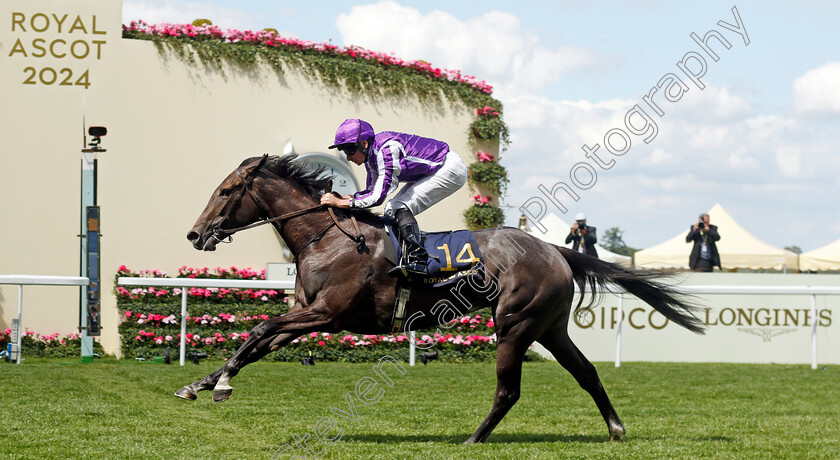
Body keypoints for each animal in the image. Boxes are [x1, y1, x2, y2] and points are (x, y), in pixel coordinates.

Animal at [182, 154, 704, 442]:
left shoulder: (326, 313)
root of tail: (554, 248)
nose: (195, 234)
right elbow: (256, 342)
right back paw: (615, 429)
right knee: (588, 373)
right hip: (550, 327)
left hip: (515, 324)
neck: (325, 238)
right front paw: (203, 383)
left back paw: (472, 439)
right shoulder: (307, 313)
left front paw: (219, 384)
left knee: (509, 390)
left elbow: (260, 329)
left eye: (227, 191)